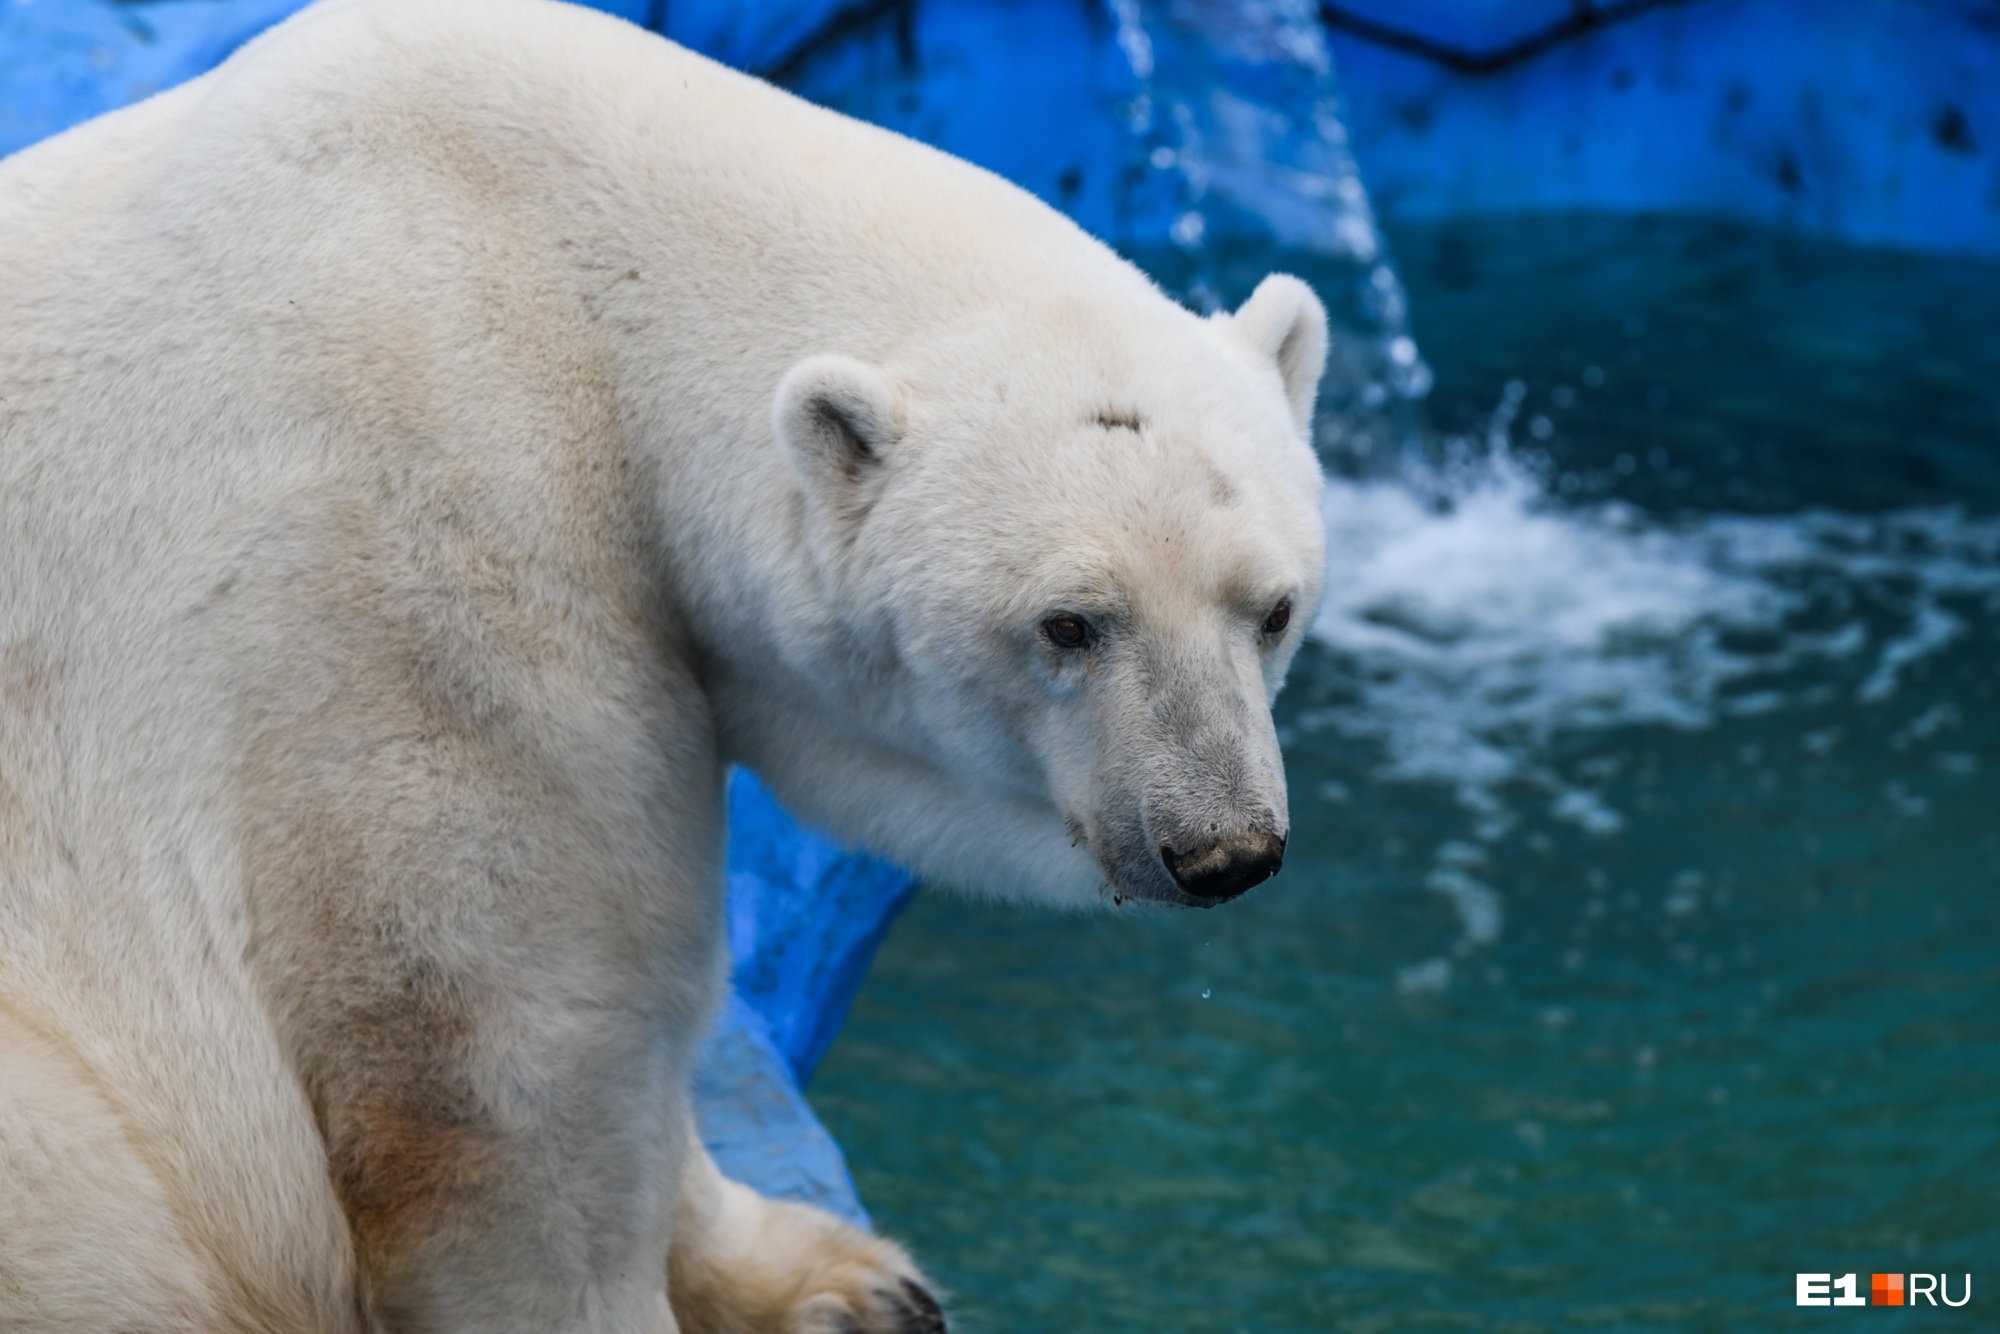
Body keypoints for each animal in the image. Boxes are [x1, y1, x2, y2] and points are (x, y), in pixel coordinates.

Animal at [0, 0, 1328, 1328]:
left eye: (1271, 608)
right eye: (1068, 622)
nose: (1221, 848)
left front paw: (846, 1278)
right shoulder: (423, 582)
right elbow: (518, 1080)